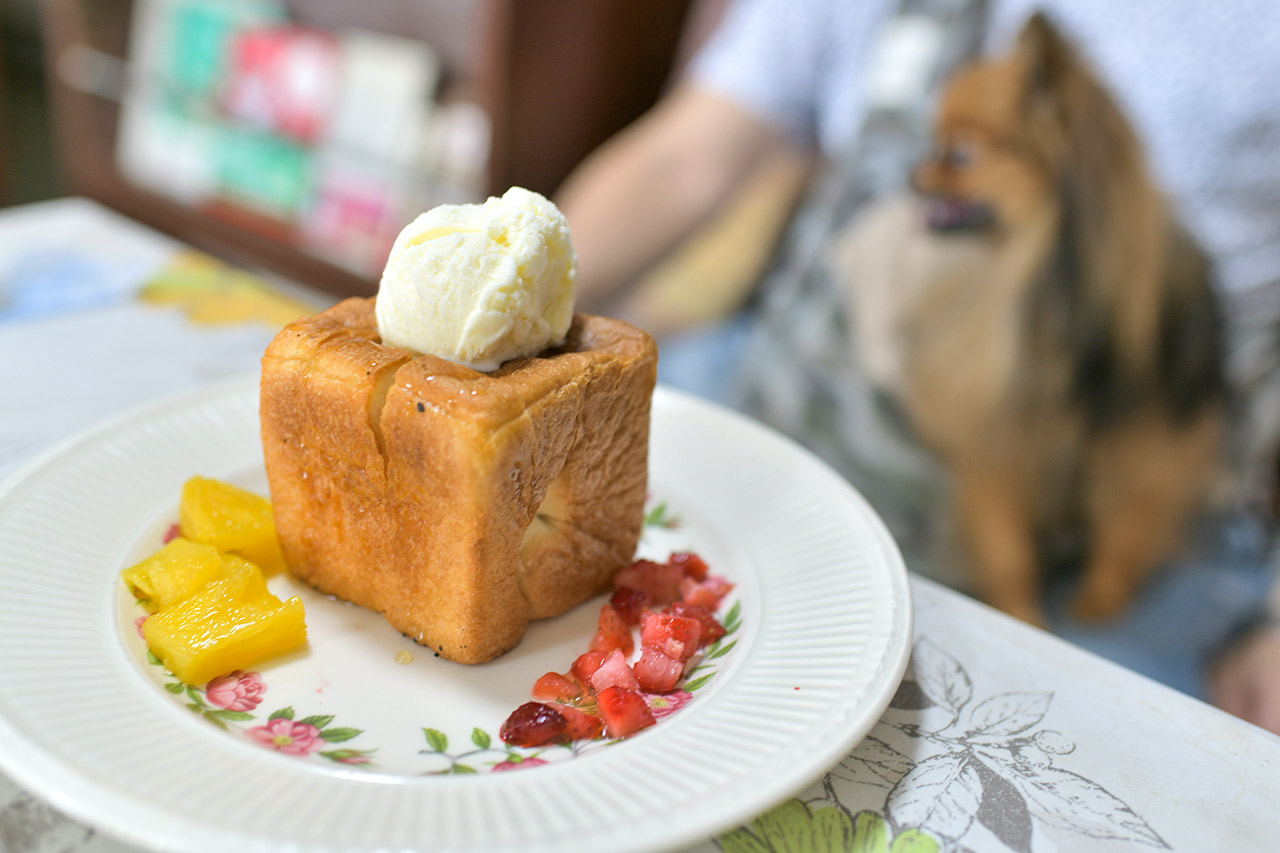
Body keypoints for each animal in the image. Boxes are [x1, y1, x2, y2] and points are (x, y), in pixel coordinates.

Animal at [834, 11, 1223, 625]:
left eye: (961, 155)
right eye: (935, 142)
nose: (912, 175)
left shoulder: (1148, 445)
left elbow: (1127, 529)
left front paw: (1101, 598)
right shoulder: (998, 444)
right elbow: (1008, 551)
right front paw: (1023, 613)